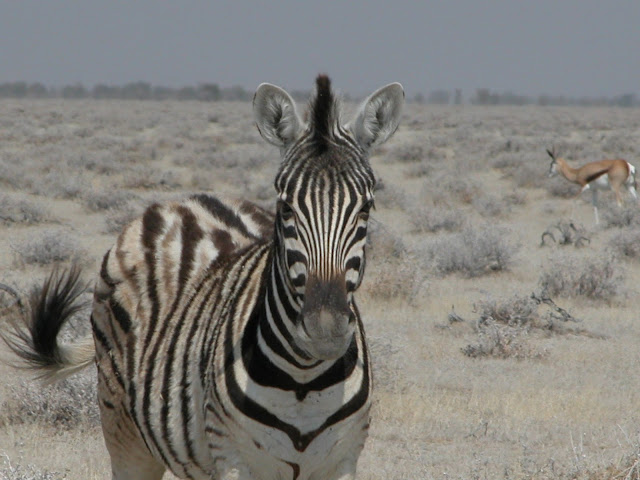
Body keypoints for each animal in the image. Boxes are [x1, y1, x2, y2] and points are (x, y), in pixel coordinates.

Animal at [2, 75, 402, 480]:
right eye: (286, 207)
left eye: (366, 208)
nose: (325, 330)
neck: (304, 381)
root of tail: (182, 203)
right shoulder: (234, 459)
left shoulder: (343, 460)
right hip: (122, 429)